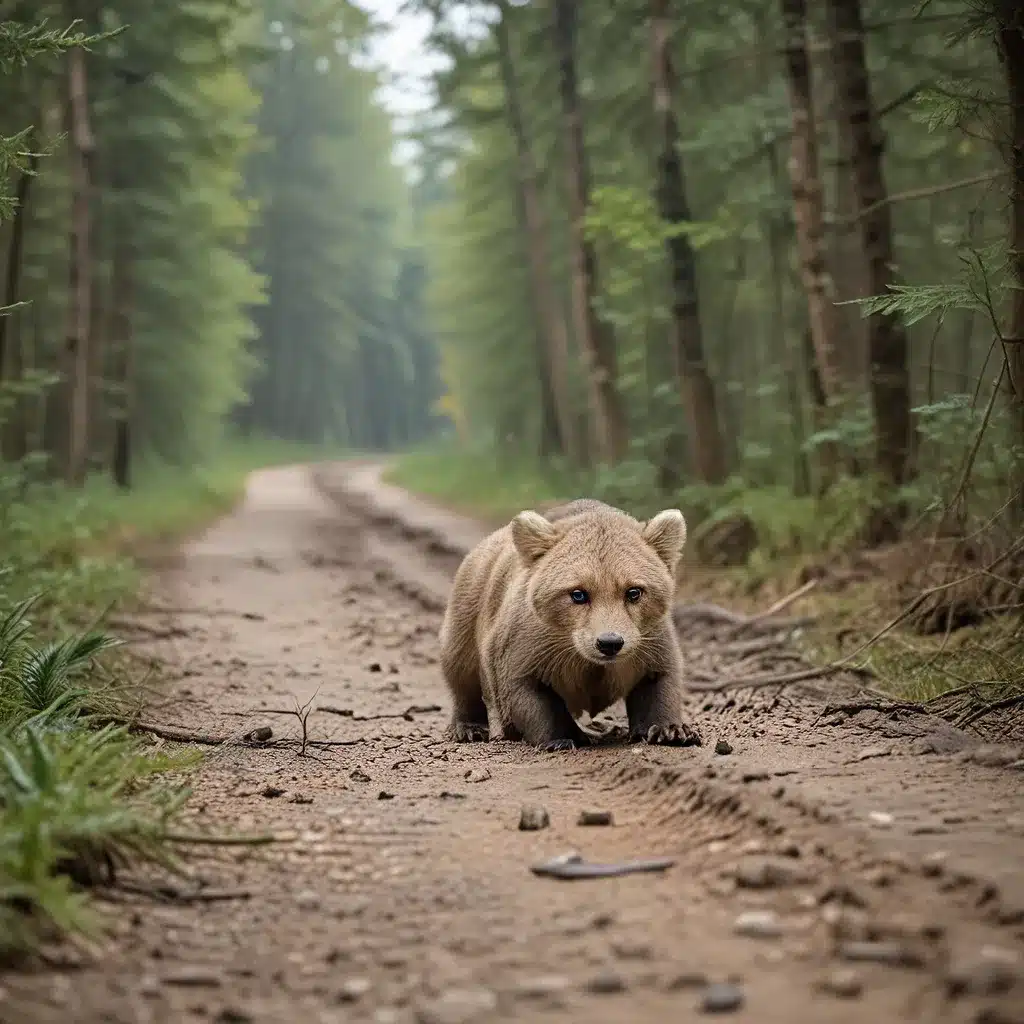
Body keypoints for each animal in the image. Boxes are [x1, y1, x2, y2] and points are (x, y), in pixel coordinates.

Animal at [436, 497, 700, 753]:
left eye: (634, 591)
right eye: (578, 593)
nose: (609, 642)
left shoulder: (648, 640)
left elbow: (658, 679)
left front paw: (672, 731)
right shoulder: (531, 643)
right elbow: (525, 688)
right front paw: (563, 738)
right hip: (470, 603)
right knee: (461, 668)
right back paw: (470, 727)